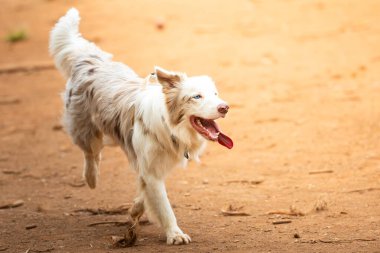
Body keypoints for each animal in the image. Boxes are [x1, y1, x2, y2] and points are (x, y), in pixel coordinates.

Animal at [49, 8, 233, 245]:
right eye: (196, 96)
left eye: (215, 94)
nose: (225, 107)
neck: (170, 127)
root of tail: (91, 61)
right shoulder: (152, 170)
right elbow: (164, 206)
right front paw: (175, 234)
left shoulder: (150, 168)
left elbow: (145, 195)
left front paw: (136, 210)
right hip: (84, 128)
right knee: (91, 152)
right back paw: (91, 178)